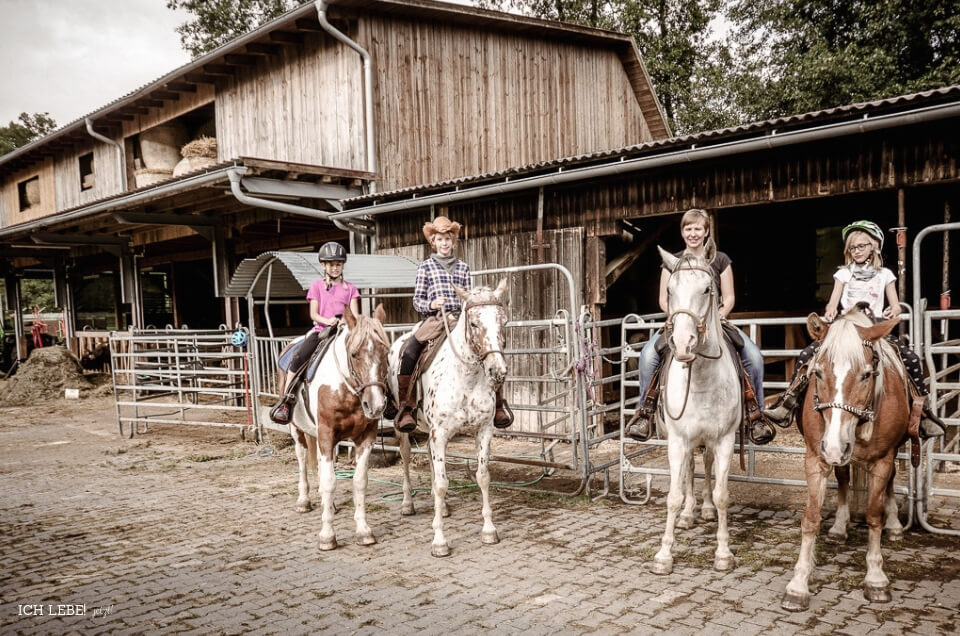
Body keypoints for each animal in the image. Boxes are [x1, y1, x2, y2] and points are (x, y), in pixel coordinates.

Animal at [280, 306, 392, 548]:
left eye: (385, 353)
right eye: (354, 354)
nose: (376, 405)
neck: (344, 388)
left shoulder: (366, 437)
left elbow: (359, 482)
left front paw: (364, 531)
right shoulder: (326, 434)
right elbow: (330, 481)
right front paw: (327, 535)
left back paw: (327, 505)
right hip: (297, 430)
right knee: (302, 459)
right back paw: (304, 501)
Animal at [388, 278, 510, 556]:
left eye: (503, 321)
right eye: (474, 323)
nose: (498, 371)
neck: (466, 377)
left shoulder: (483, 431)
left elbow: (482, 477)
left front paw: (489, 531)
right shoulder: (441, 434)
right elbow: (442, 484)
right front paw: (439, 541)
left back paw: (441, 508)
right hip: (404, 427)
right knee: (406, 456)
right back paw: (407, 504)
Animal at [652, 248, 744, 576]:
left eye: (707, 289)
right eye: (669, 290)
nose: (683, 344)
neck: (701, 378)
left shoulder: (726, 439)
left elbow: (722, 495)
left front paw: (724, 554)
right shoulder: (677, 440)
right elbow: (673, 496)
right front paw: (664, 555)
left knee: (705, 464)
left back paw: (703, 510)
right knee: (691, 469)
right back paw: (689, 514)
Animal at [780, 308, 908, 612]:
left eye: (866, 375)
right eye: (817, 372)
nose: (835, 447)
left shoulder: (882, 460)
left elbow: (874, 515)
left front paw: (876, 579)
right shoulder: (816, 459)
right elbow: (811, 518)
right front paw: (798, 585)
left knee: (890, 482)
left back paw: (895, 526)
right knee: (842, 479)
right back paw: (839, 528)